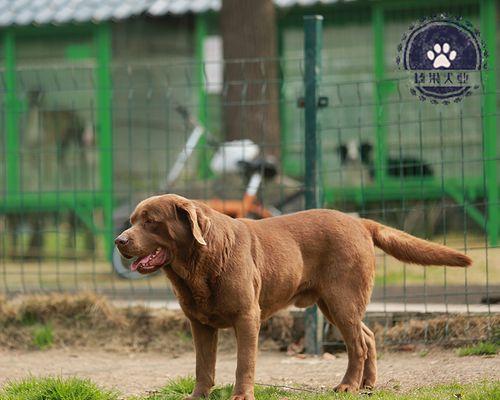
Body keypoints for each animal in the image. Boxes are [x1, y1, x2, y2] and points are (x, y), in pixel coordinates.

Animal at [116, 194, 472, 396]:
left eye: (151, 221)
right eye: (132, 221)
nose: (120, 240)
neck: (198, 265)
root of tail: (360, 223)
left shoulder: (248, 317)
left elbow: (244, 363)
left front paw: (242, 395)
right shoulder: (199, 324)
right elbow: (203, 367)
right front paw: (198, 396)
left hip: (341, 301)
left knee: (357, 344)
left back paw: (348, 386)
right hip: (333, 303)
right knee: (368, 336)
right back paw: (368, 384)